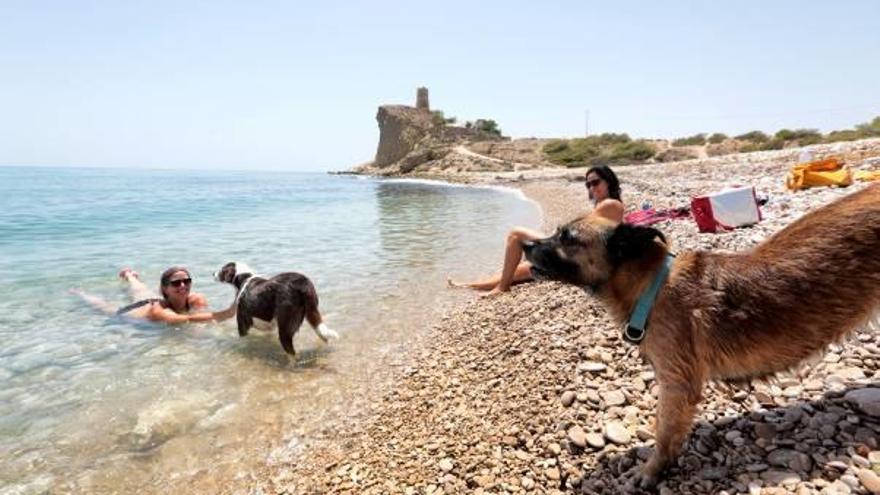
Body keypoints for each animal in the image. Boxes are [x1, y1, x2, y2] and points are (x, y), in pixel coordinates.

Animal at [524, 184, 876, 490]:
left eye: (567, 238)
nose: (525, 245)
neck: (652, 286)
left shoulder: (677, 385)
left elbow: (665, 433)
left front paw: (652, 470)